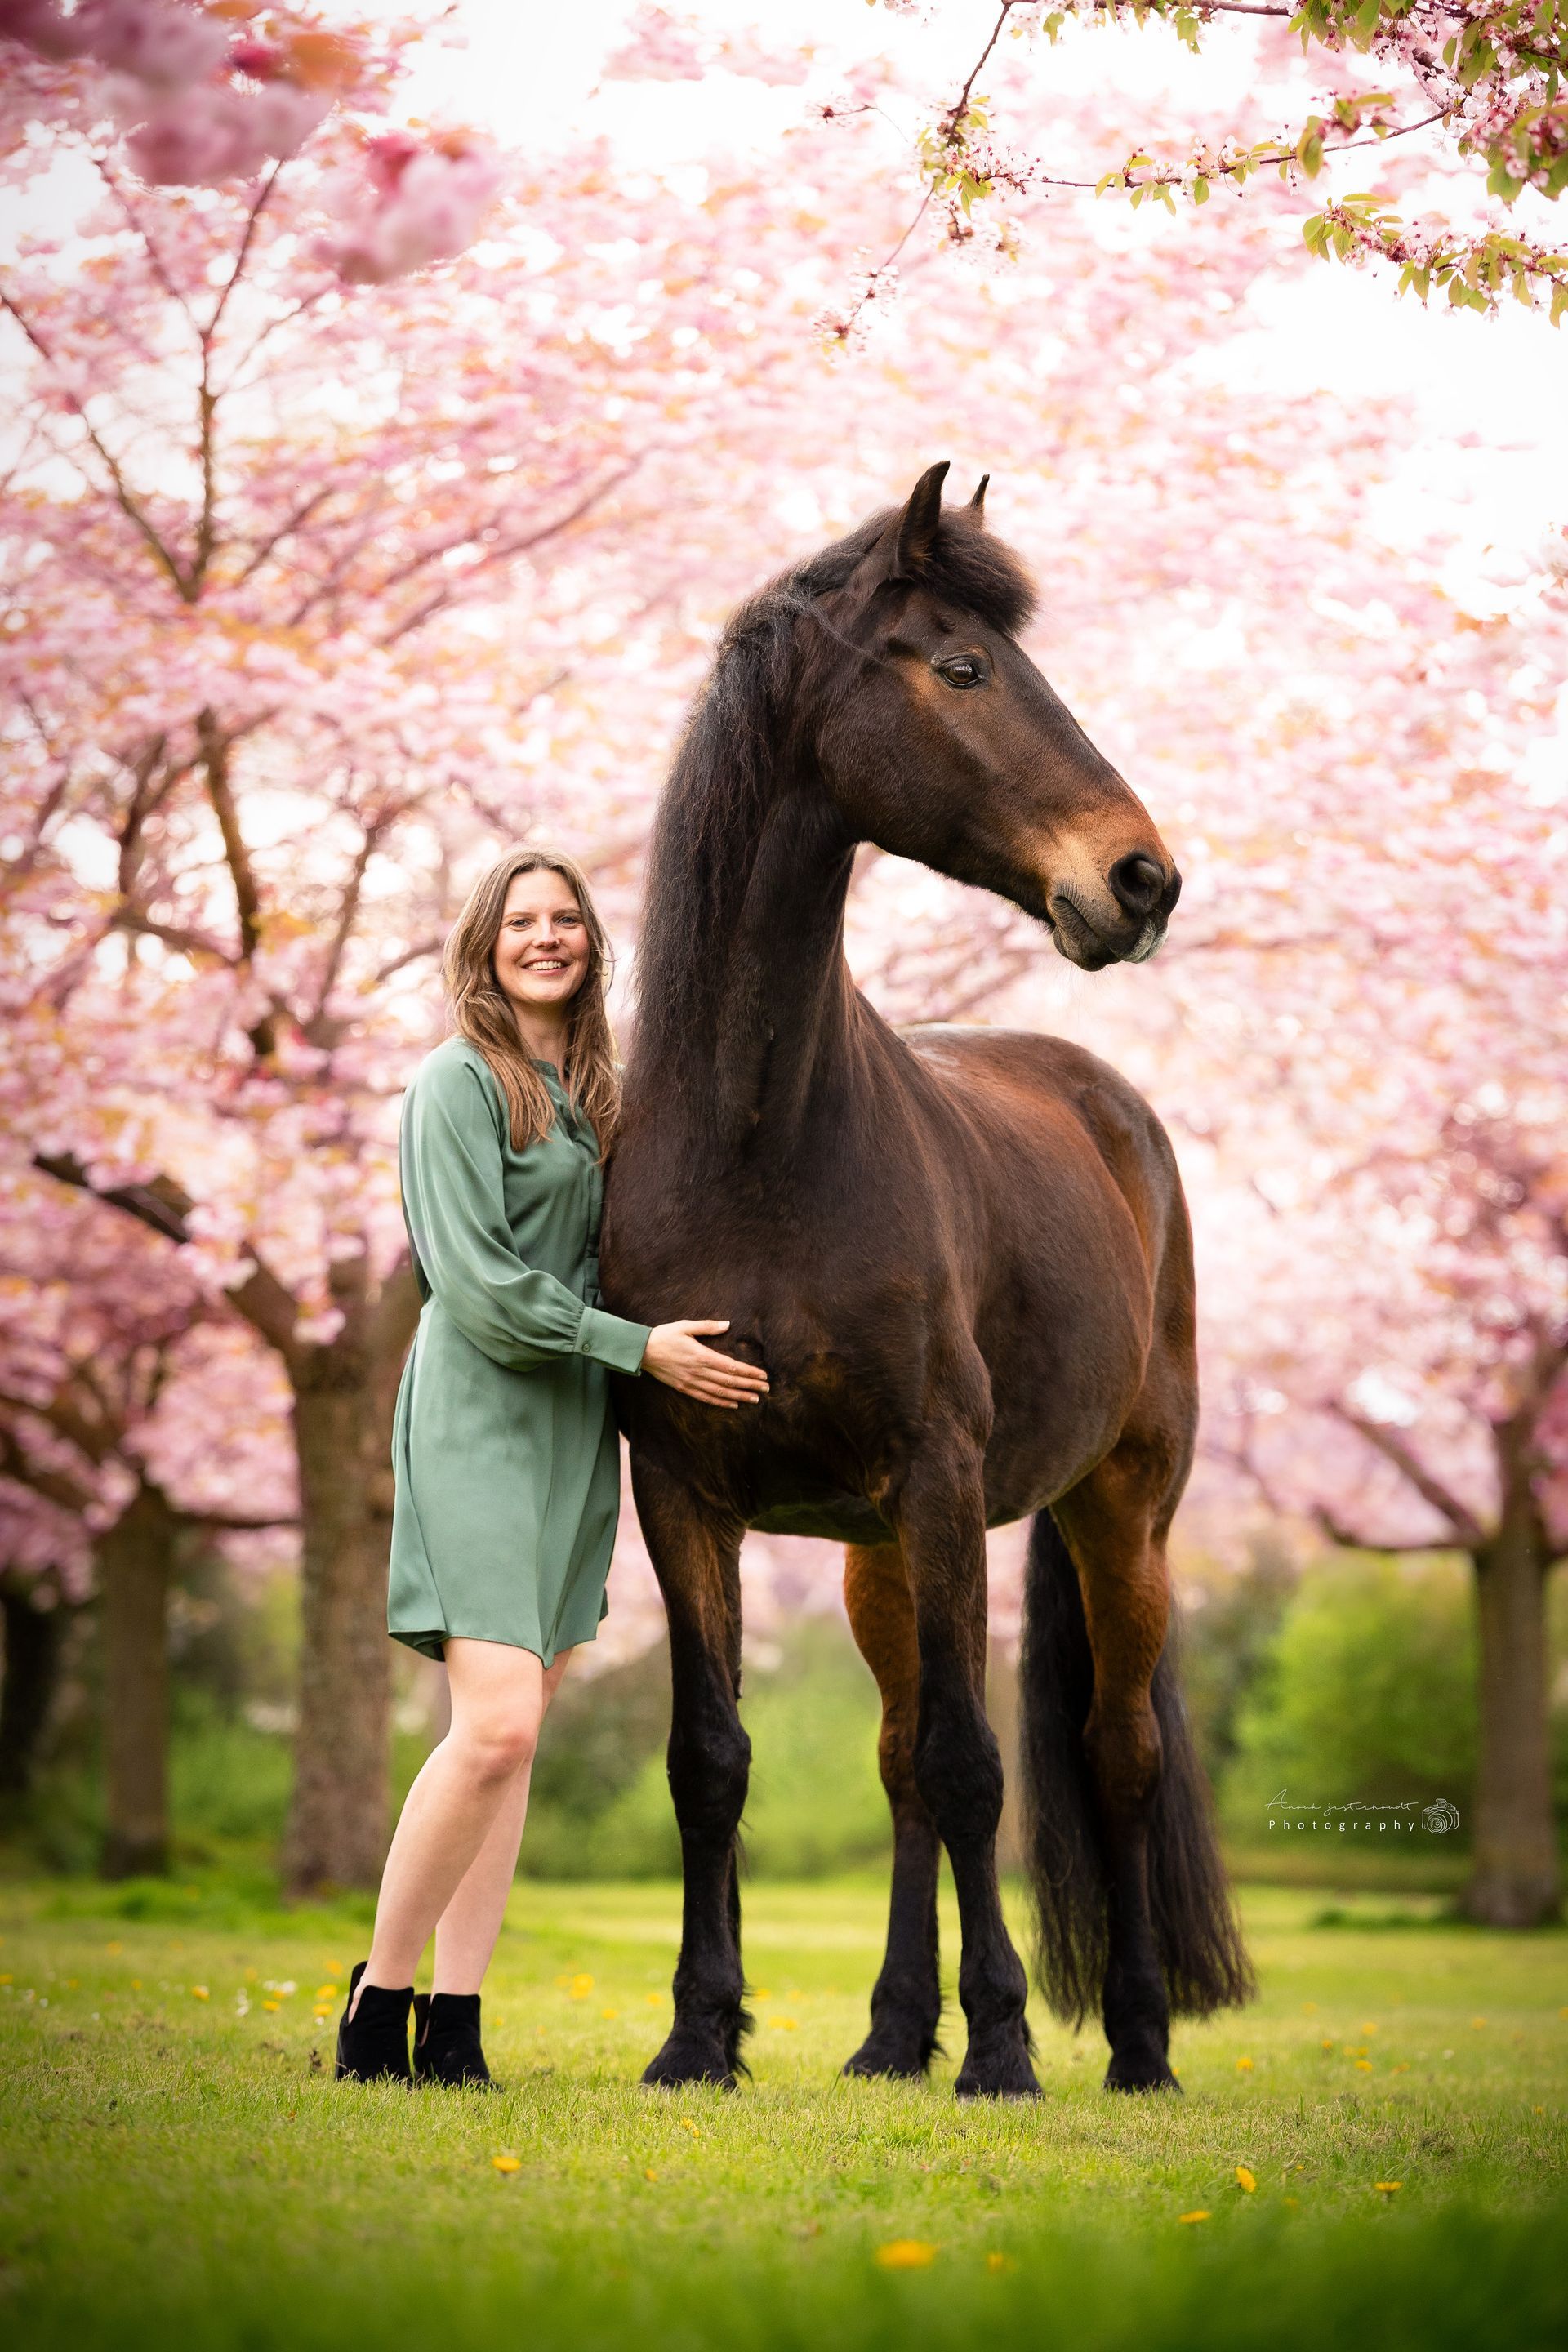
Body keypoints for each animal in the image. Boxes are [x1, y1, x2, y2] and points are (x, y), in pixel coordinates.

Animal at [600, 463, 1253, 2099]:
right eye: (960, 668)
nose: (1141, 879)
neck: (758, 1146)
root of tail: (1111, 1105)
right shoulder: (683, 1491)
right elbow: (714, 1761)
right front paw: (700, 2033)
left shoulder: (946, 1475)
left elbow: (977, 1766)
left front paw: (1007, 2046)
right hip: (875, 1555)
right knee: (899, 1758)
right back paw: (893, 2035)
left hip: (1116, 1512)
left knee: (1111, 1754)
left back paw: (1136, 2046)